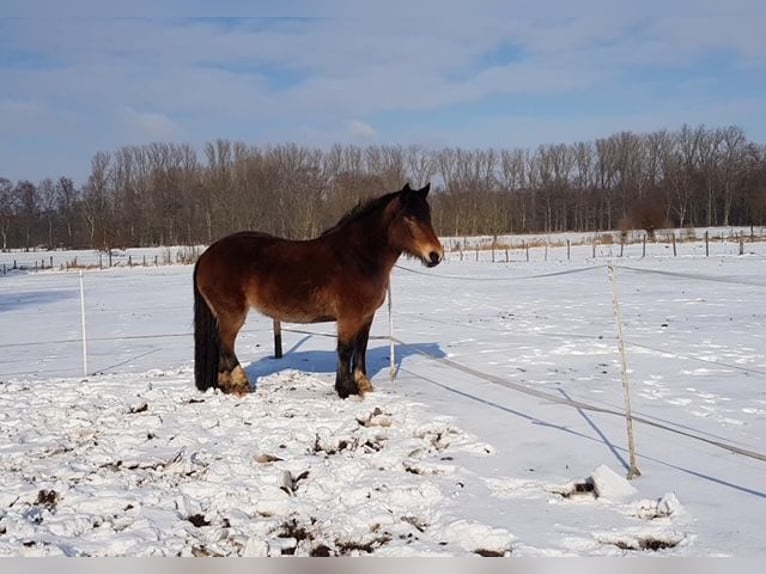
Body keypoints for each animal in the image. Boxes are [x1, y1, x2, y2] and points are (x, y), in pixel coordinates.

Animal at [192, 184, 444, 400]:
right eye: (409, 218)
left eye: (428, 216)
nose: (435, 255)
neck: (358, 257)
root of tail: (206, 255)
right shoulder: (349, 317)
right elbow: (345, 350)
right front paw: (346, 390)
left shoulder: (366, 316)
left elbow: (360, 349)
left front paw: (364, 386)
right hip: (232, 315)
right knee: (225, 343)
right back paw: (241, 385)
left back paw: (226, 386)